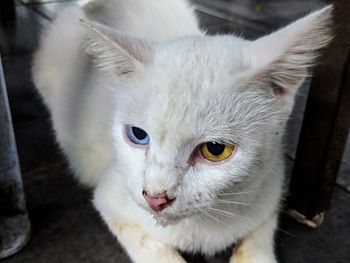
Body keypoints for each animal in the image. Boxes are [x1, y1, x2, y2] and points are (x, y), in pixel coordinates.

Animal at [33, 1, 334, 262]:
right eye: (138, 135)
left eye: (215, 150)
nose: (155, 198)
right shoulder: (110, 198)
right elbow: (154, 250)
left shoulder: (271, 189)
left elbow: (257, 241)